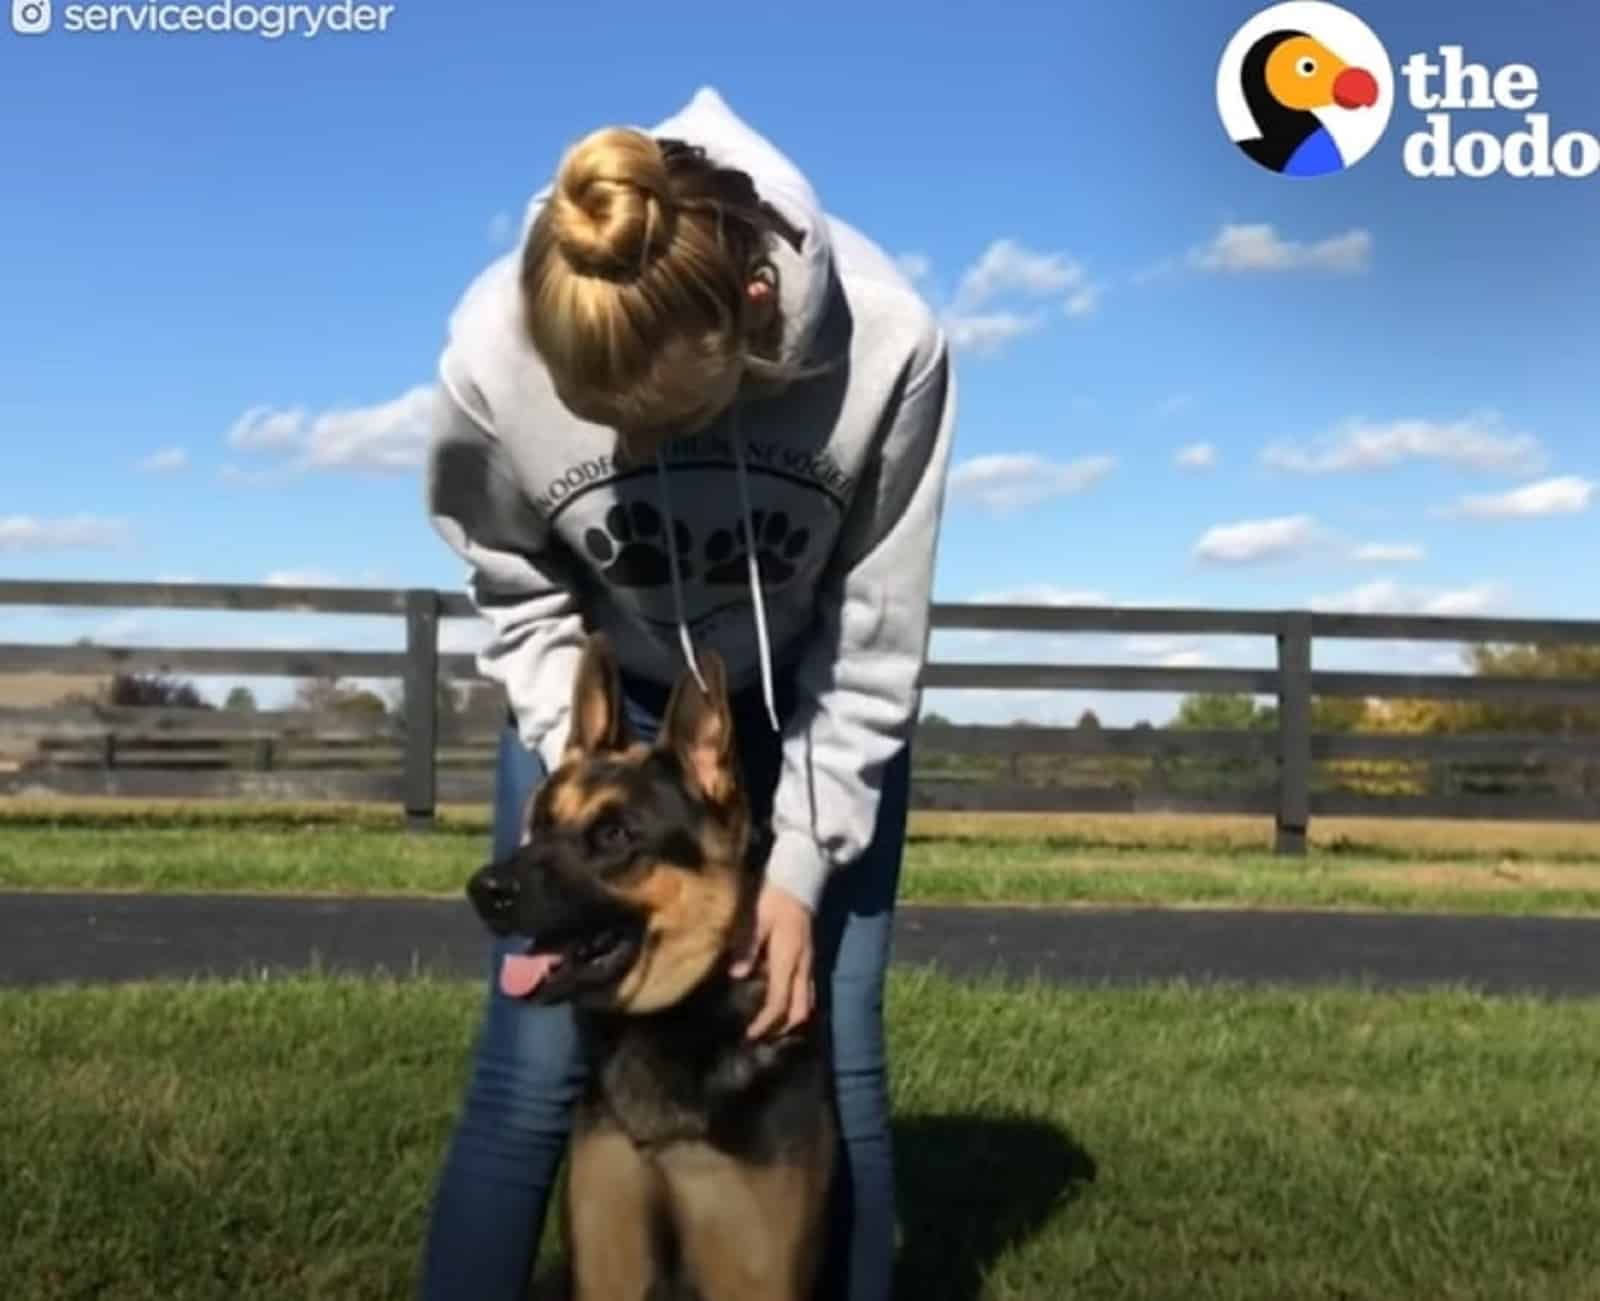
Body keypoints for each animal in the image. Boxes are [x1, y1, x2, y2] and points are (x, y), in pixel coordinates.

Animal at [464, 630, 838, 1299]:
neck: (675, 1013)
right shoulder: (608, 1258)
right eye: (540, 823)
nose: (484, 890)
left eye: (615, 835)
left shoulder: (755, 1271)